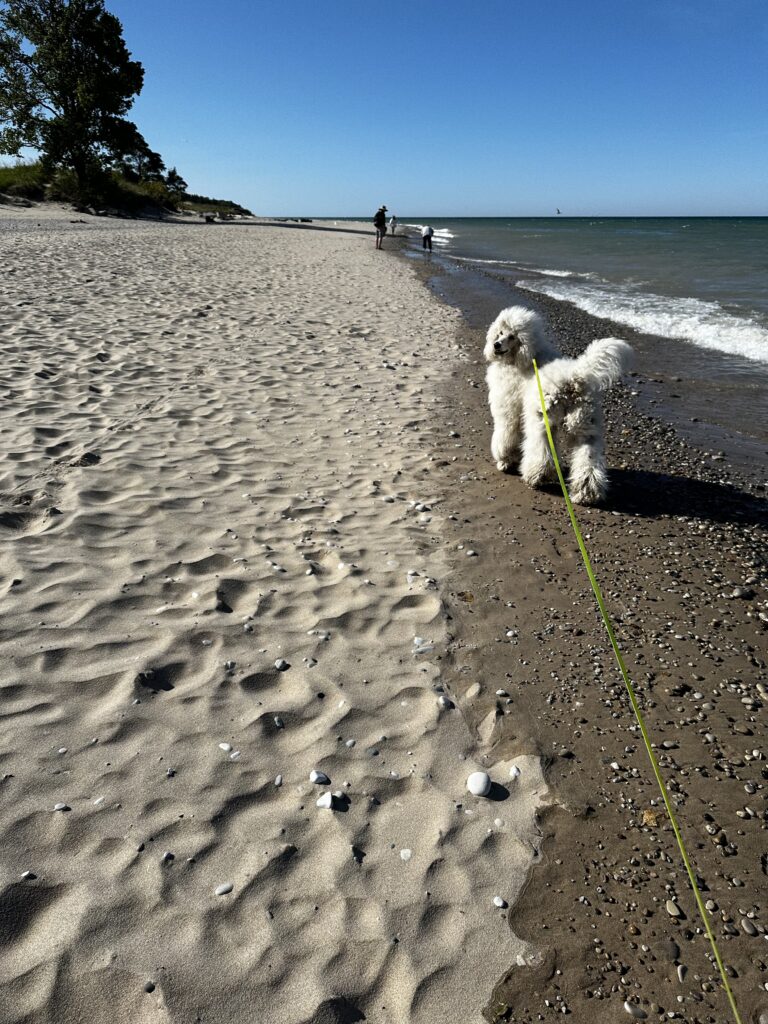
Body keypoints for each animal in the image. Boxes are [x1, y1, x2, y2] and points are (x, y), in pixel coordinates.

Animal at [484, 306, 560, 472]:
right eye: (500, 332)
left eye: (512, 336)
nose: (496, 344)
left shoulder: (508, 409)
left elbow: (506, 433)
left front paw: (504, 457)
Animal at [519, 337, 633, 505]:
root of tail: (575, 379)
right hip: (587, 427)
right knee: (588, 461)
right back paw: (587, 492)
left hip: (542, 422)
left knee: (541, 452)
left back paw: (537, 476)